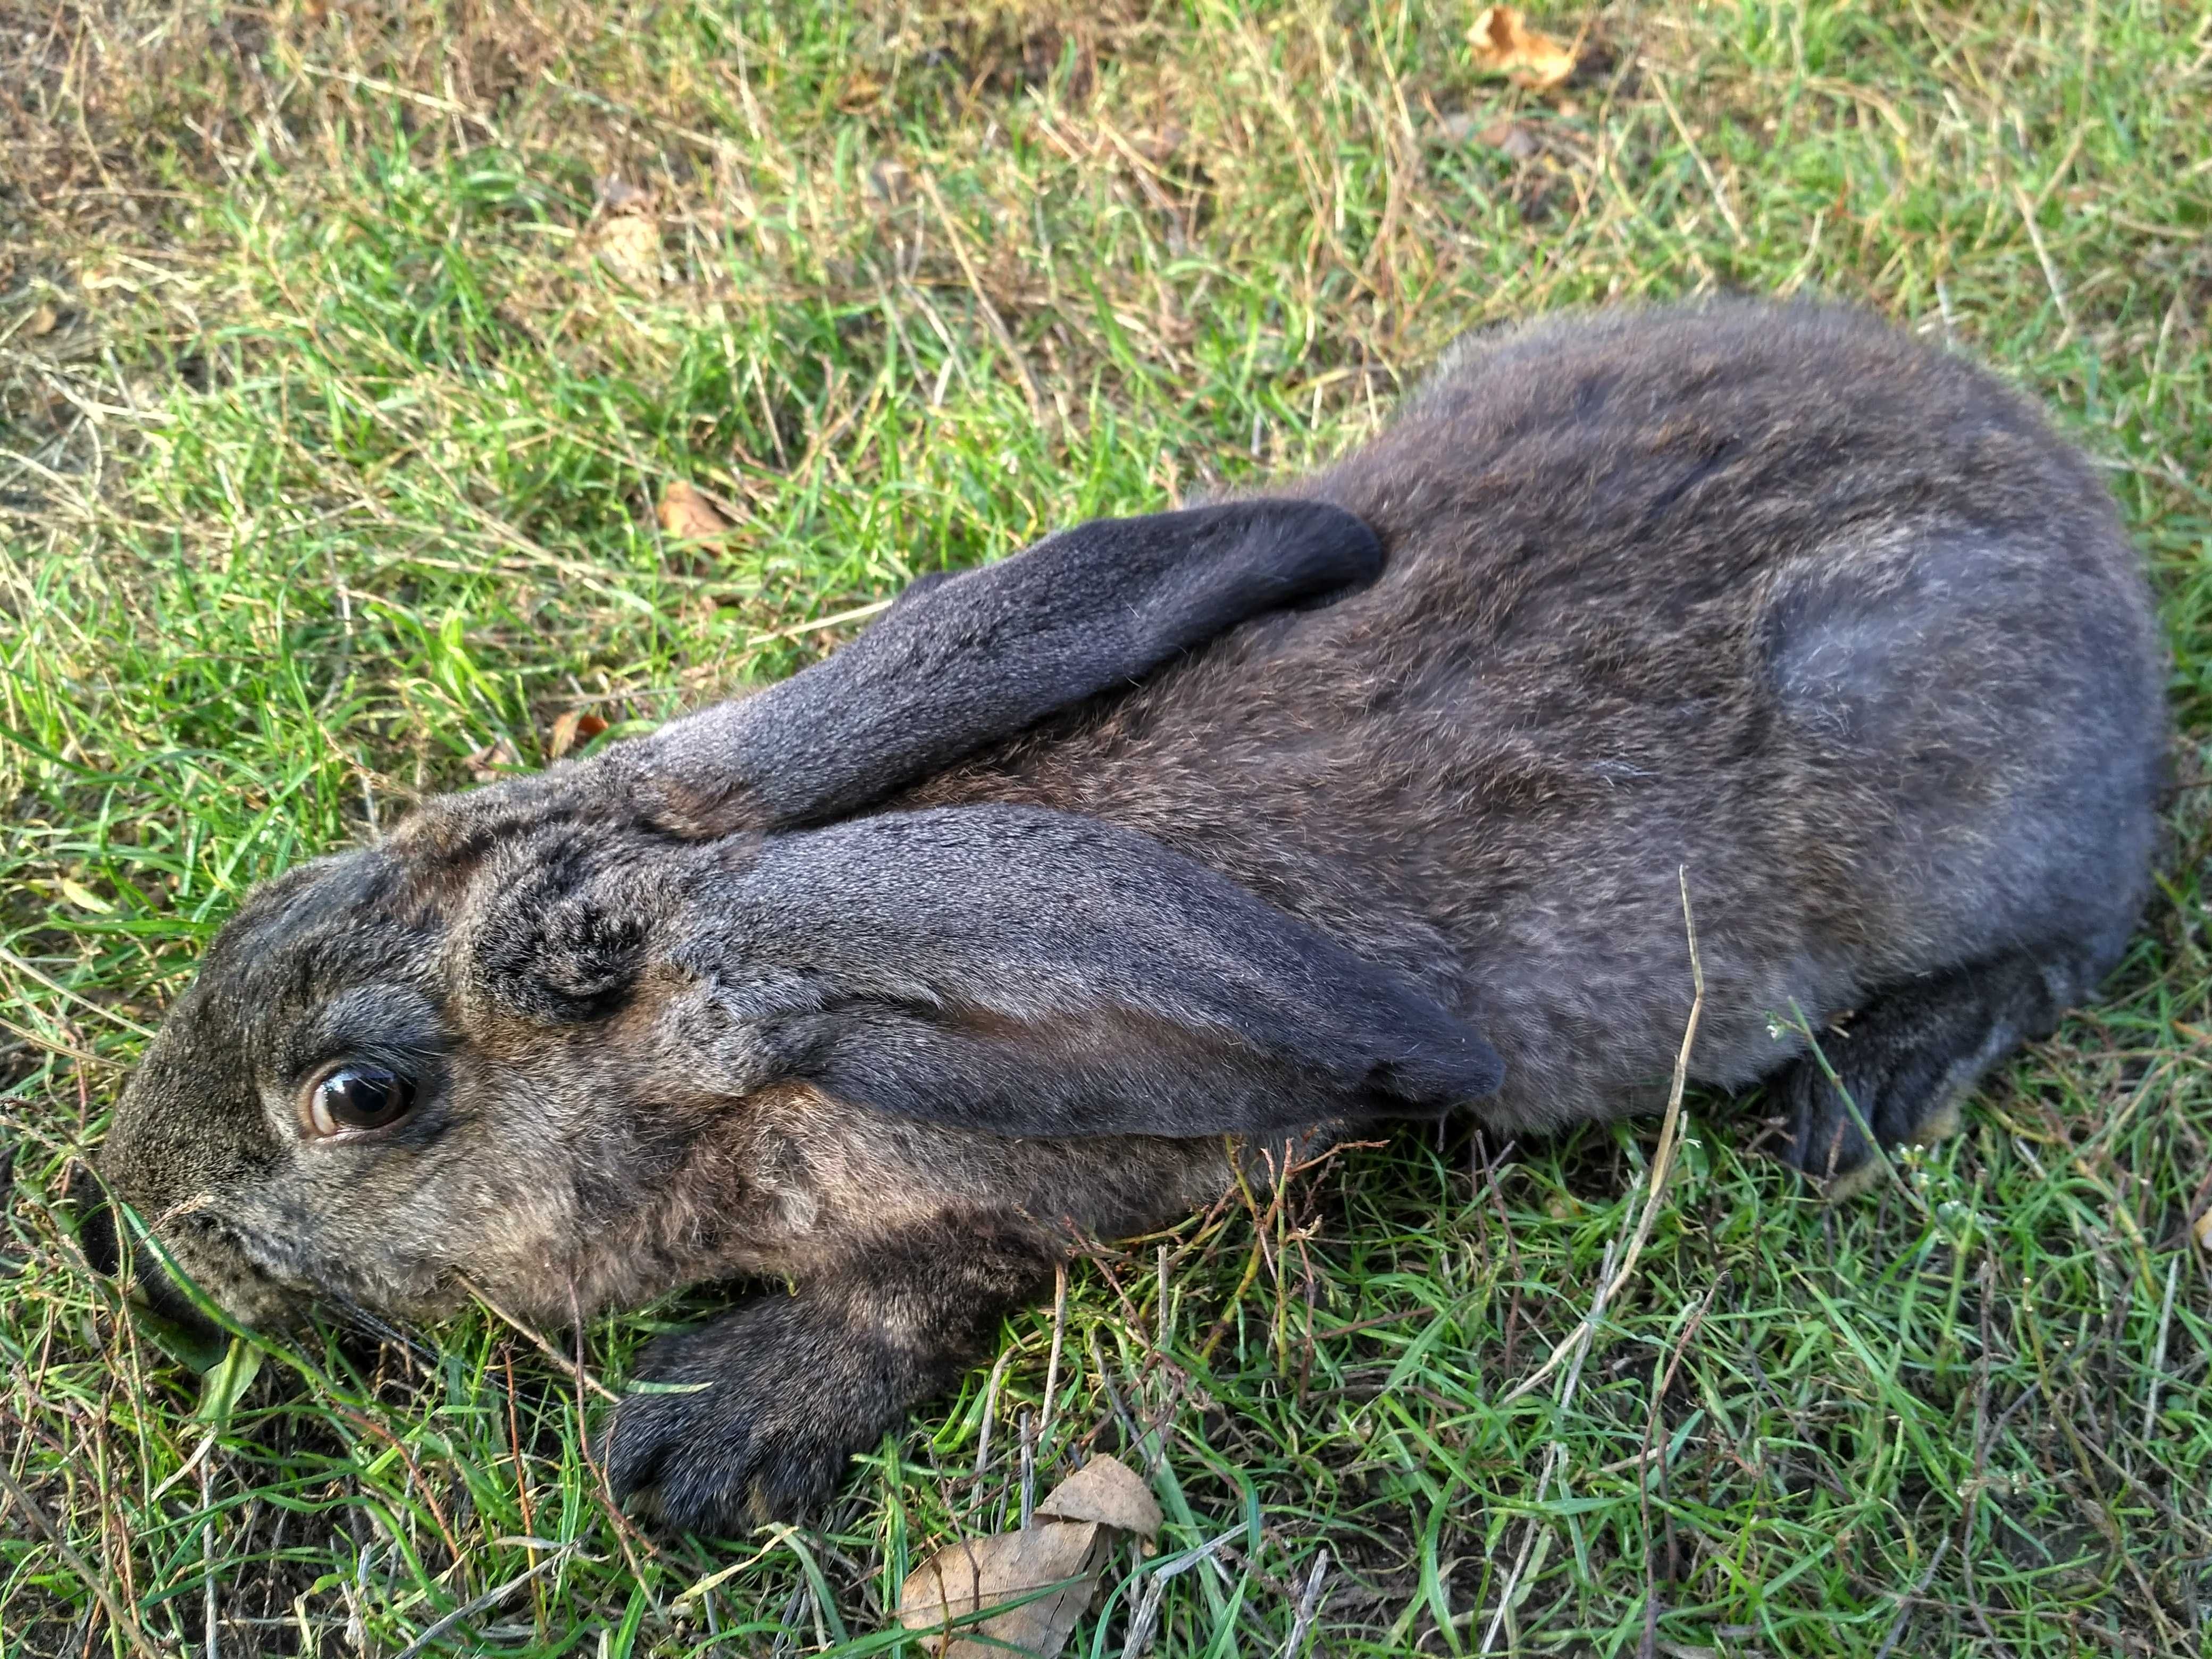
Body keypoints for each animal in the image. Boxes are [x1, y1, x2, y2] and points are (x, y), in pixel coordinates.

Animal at [86, 298, 2159, 1530]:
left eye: (359, 1099)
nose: (126, 1232)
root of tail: (2091, 549)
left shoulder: (1021, 1186)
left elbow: (920, 1294)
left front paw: (702, 1438)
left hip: (1929, 754)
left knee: (2078, 923)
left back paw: (1869, 1091)